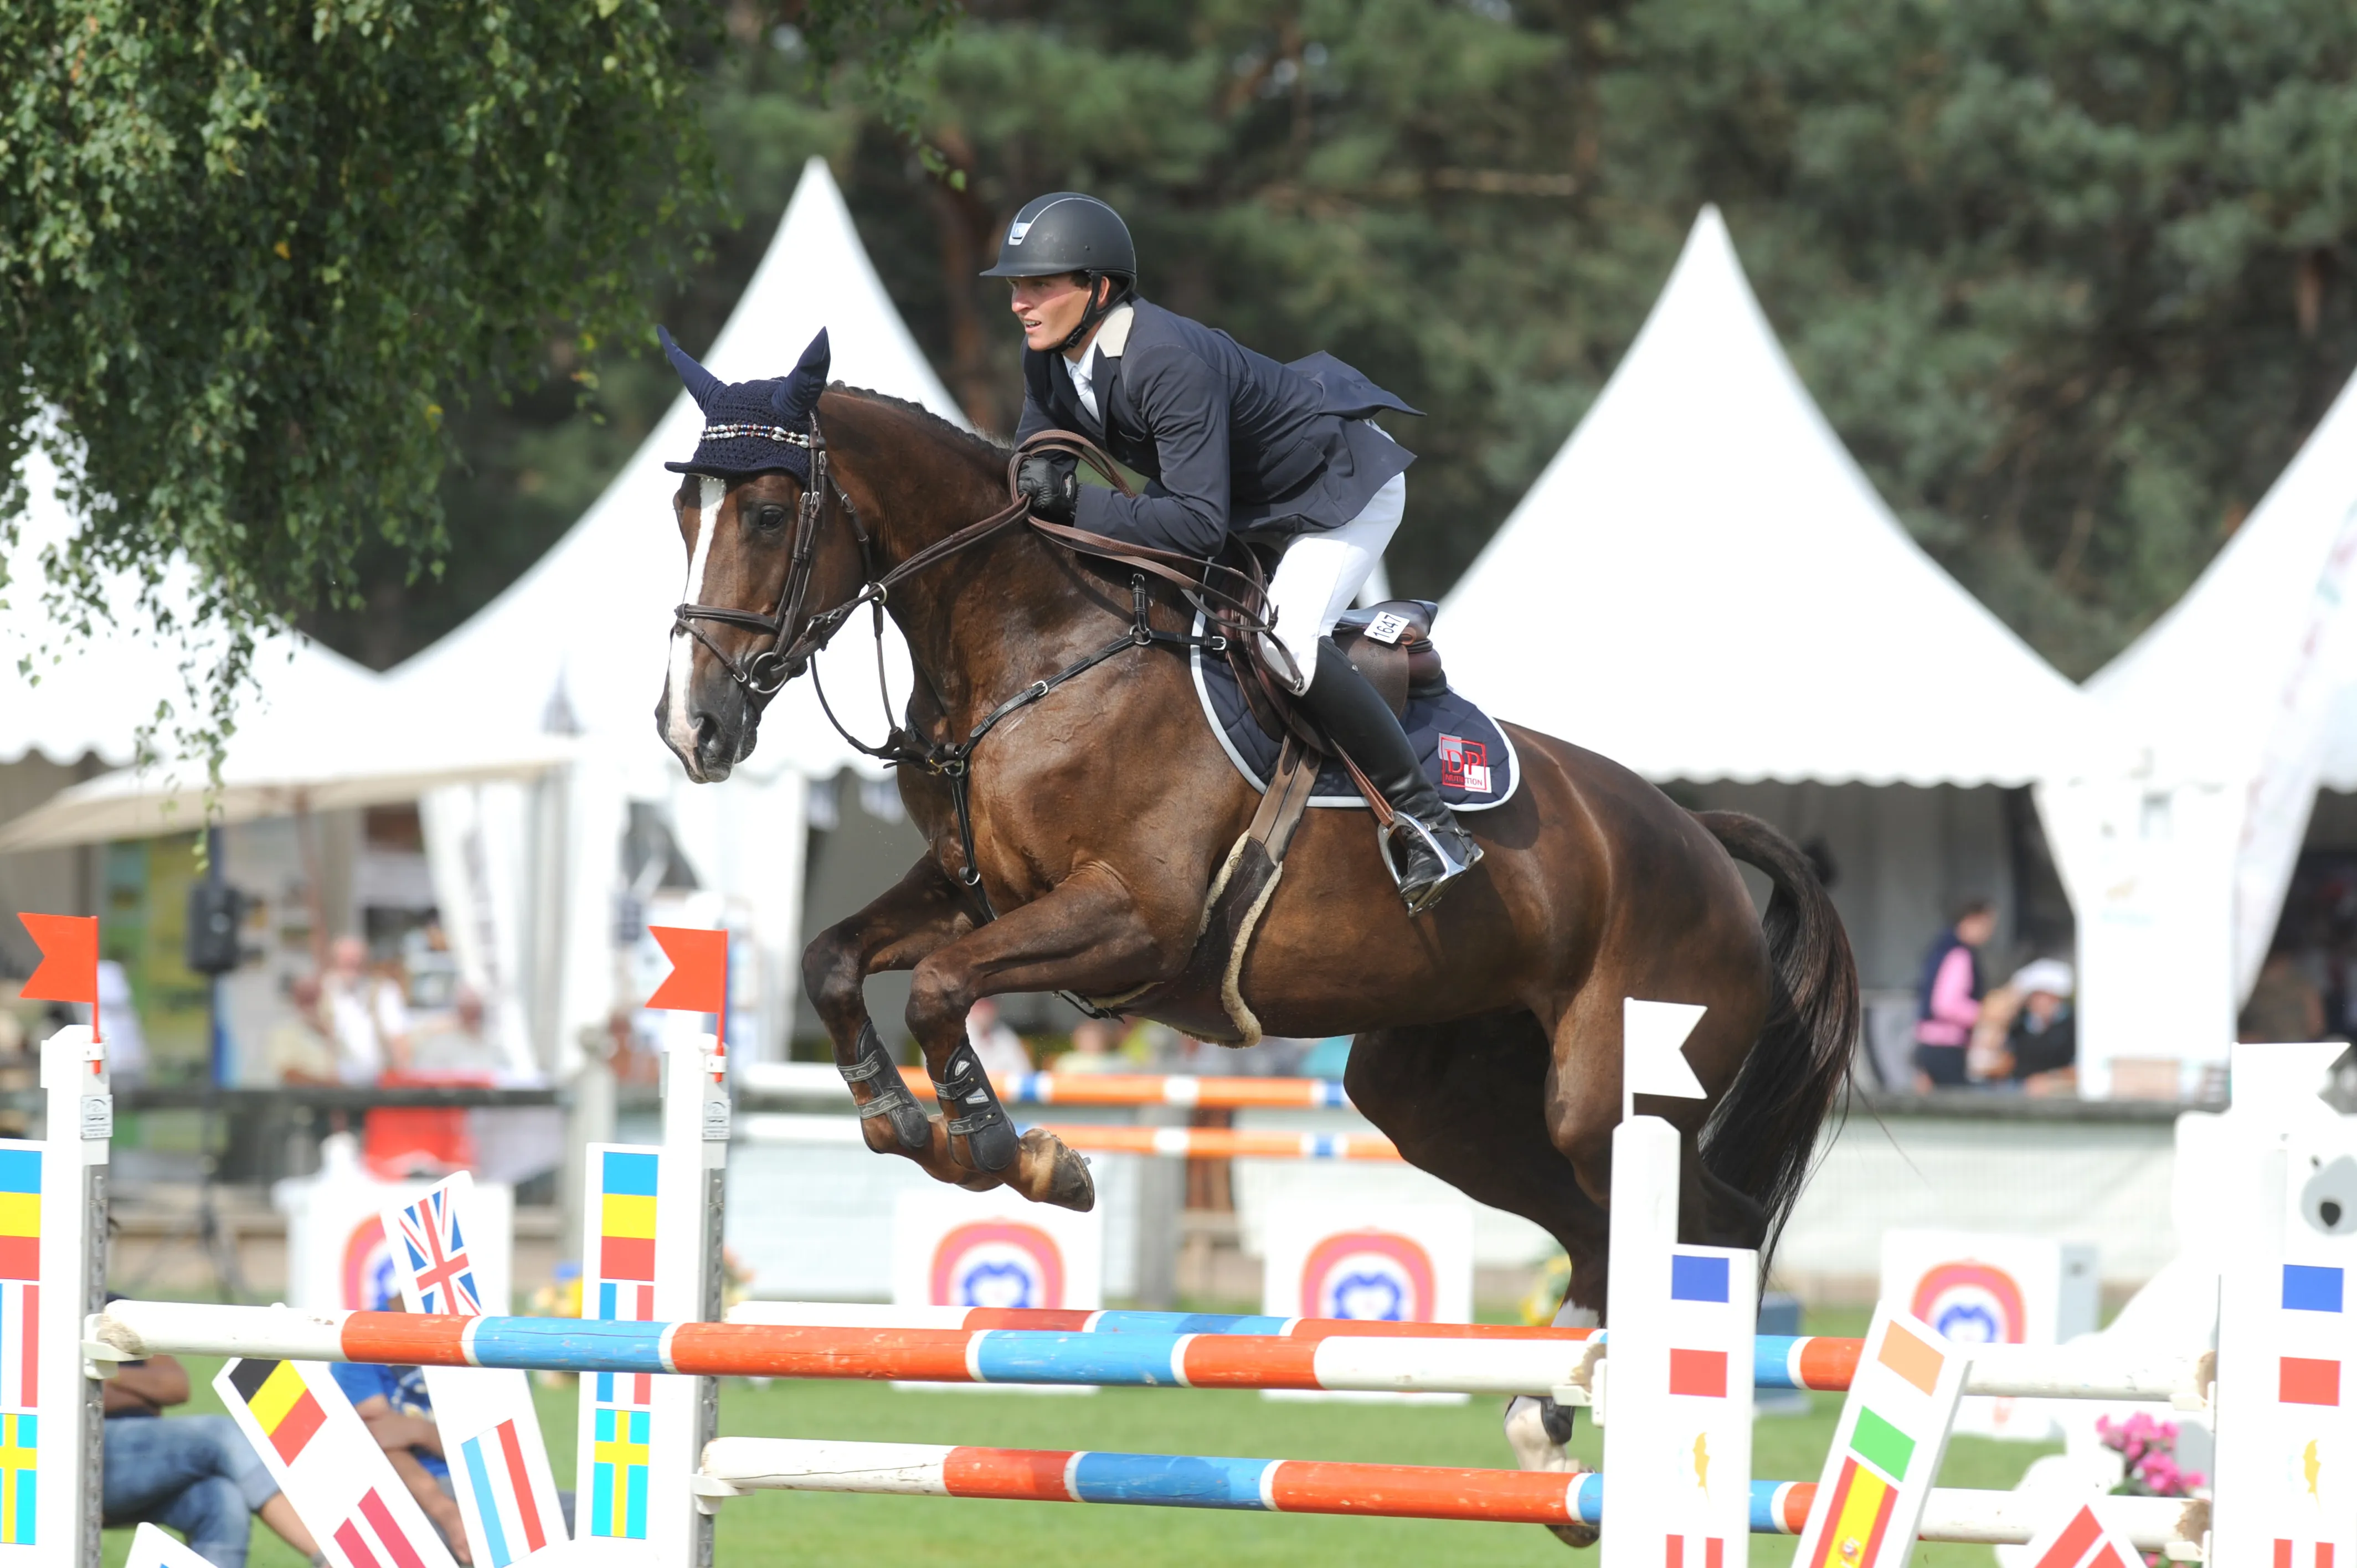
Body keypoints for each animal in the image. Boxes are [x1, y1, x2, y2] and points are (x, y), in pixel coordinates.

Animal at [654, 378, 1857, 1357]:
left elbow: (943, 993)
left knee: (1705, 1224)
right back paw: (1545, 1415)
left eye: (767, 514)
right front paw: (900, 1121)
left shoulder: (1130, 919)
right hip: (1437, 1093)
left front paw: (1014, 1150)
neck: (1033, 652)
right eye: (684, 516)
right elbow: (833, 961)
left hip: (1612, 1087)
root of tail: (1699, 839)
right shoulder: (971, 893)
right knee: (1591, 1225)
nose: (691, 727)